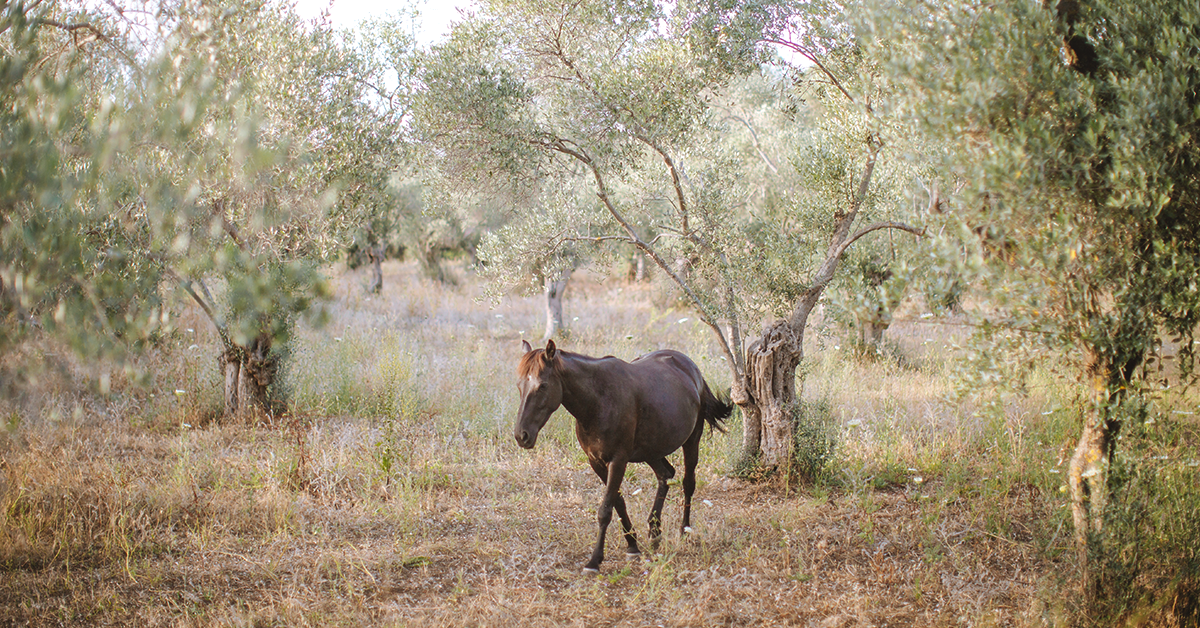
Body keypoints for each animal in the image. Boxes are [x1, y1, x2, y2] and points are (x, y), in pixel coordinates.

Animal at [511, 341, 724, 571]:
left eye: (542, 386)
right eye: (519, 385)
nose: (521, 435)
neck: (598, 401)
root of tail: (692, 368)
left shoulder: (618, 460)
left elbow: (605, 510)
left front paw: (594, 560)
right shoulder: (596, 462)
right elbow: (617, 503)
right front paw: (632, 545)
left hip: (692, 440)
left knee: (688, 483)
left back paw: (684, 530)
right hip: (652, 450)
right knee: (665, 475)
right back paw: (654, 531)